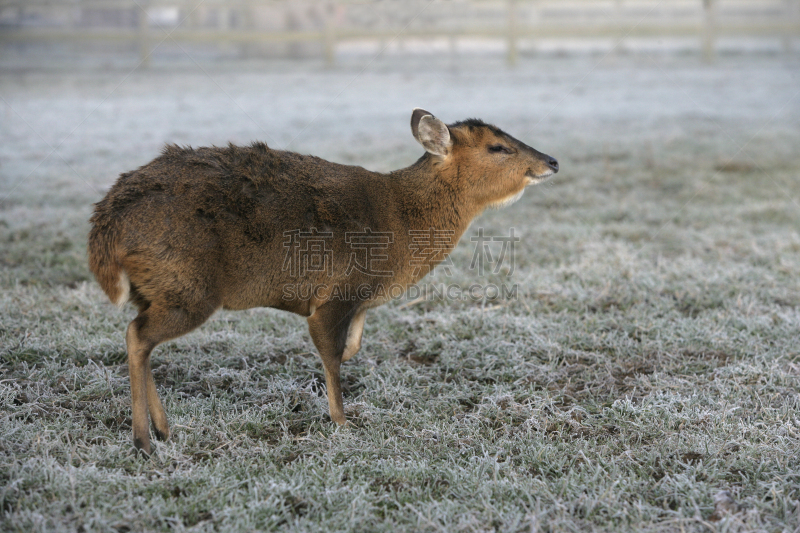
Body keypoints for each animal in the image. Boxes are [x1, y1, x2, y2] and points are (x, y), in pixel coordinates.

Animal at [87, 109, 556, 454]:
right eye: (498, 146)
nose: (551, 160)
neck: (402, 227)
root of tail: (106, 226)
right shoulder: (336, 292)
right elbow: (331, 354)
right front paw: (342, 420)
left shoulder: (359, 299)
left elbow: (352, 346)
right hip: (188, 286)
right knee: (137, 335)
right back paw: (143, 440)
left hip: (156, 289)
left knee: (140, 336)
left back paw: (163, 429)